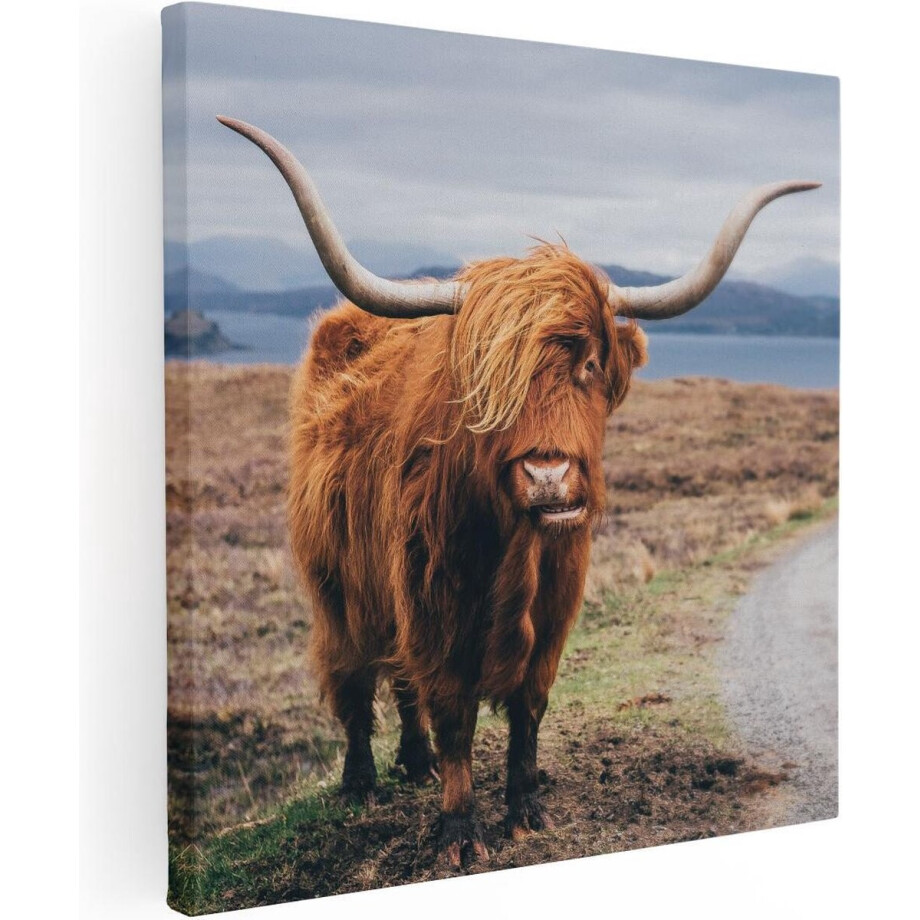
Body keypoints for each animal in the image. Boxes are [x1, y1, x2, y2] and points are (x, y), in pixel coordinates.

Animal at [218, 116, 819, 868]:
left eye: (589, 363)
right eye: (487, 378)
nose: (549, 476)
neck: (514, 551)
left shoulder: (555, 606)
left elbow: (527, 707)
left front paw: (527, 810)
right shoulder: (433, 602)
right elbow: (454, 713)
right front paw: (458, 831)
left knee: (400, 682)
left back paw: (412, 763)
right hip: (335, 580)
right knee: (353, 674)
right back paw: (361, 782)